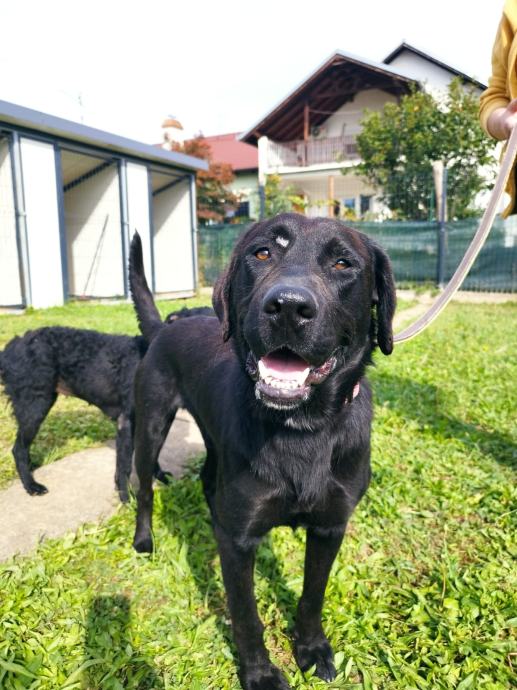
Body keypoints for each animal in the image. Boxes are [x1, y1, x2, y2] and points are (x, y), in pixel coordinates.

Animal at [0, 308, 213, 500]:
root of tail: (10, 348)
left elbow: (151, 454)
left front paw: (159, 477)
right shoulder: (127, 422)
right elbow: (125, 465)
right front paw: (126, 499)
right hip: (35, 404)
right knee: (18, 449)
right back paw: (31, 485)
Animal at [129, 213, 396, 690]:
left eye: (343, 263)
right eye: (263, 252)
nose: (288, 306)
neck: (302, 429)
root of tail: (164, 327)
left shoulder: (330, 527)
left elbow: (312, 596)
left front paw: (312, 649)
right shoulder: (239, 543)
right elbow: (245, 614)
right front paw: (259, 672)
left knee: (207, 480)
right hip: (152, 424)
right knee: (143, 486)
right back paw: (144, 540)